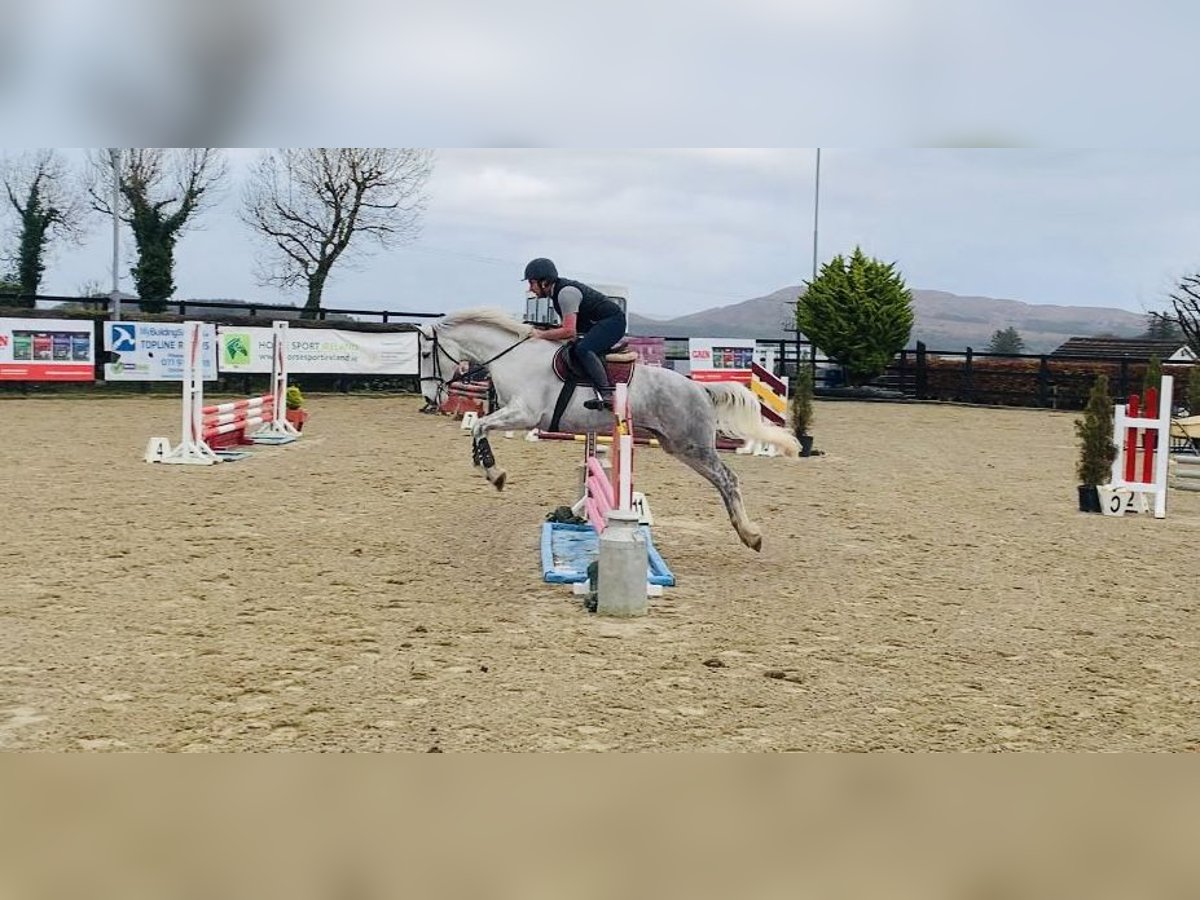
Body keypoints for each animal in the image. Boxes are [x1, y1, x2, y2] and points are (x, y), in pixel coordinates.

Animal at [417, 309, 801, 549]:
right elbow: (478, 428)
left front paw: (495, 474)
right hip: (676, 446)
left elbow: (480, 426)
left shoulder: (524, 414)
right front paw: (486, 467)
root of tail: (700, 389)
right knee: (721, 481)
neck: (513, 356)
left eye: (423, 355)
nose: (429, 400)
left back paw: (750, 534)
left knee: (728, 480)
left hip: (692, 445)